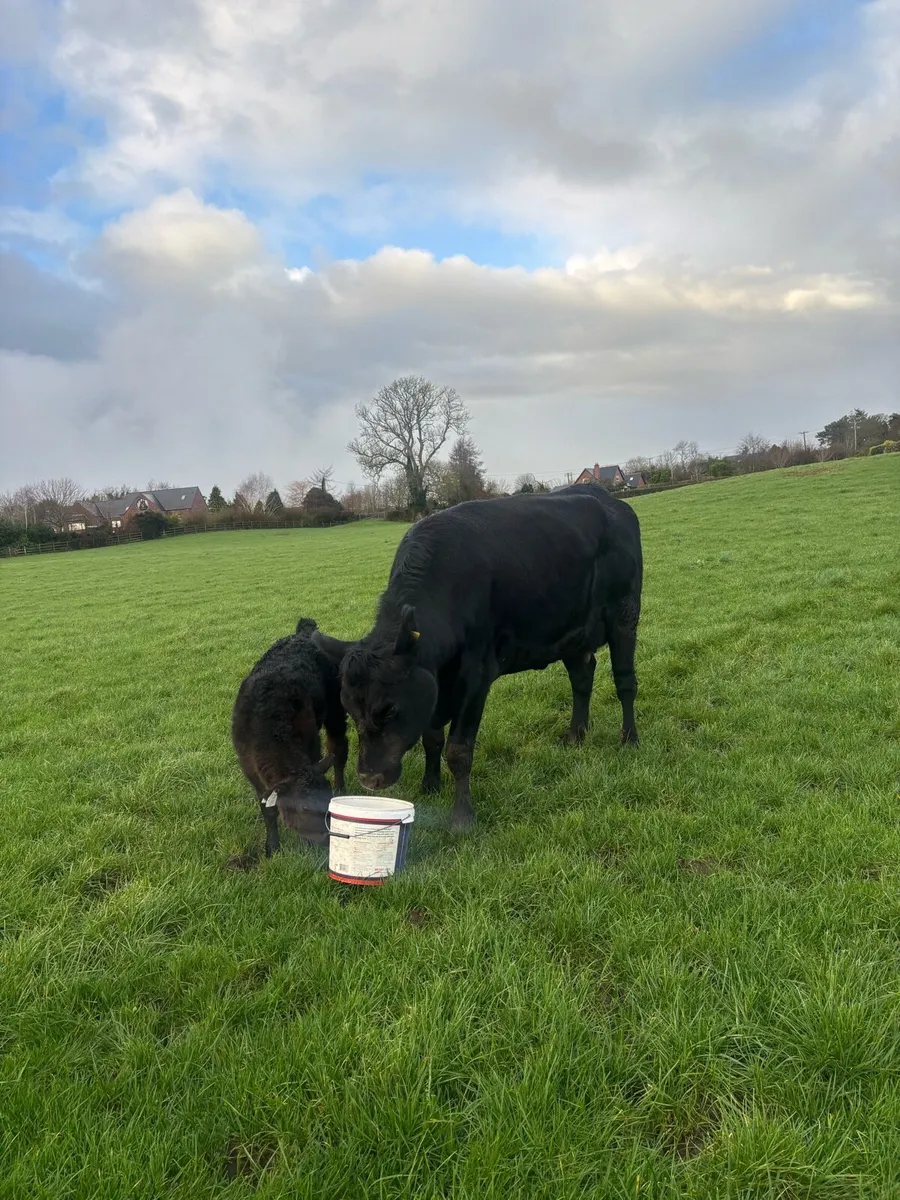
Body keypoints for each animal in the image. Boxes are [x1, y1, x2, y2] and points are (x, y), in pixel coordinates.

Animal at [231, 617, 350, 856]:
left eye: (328, 800)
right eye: (304, 807)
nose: (328, 838)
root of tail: (303, 632)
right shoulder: (251, 771)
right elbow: (267, 809)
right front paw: (272, 848)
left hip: (335, 708)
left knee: (338, 748)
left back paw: (341, 786)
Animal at [314, 484, 642, 831]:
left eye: (390, 709)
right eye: (350, 710)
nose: (369, 778)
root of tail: (610, 501)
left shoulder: (475, 676)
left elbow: (458, 750)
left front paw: (462, 817)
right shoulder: (435, 685)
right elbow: (432, 737)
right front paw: (430, 785)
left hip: (625, 614)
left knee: (625, 682)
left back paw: (629, 739)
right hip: (573, 632)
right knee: (582, 676)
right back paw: (576, 735)